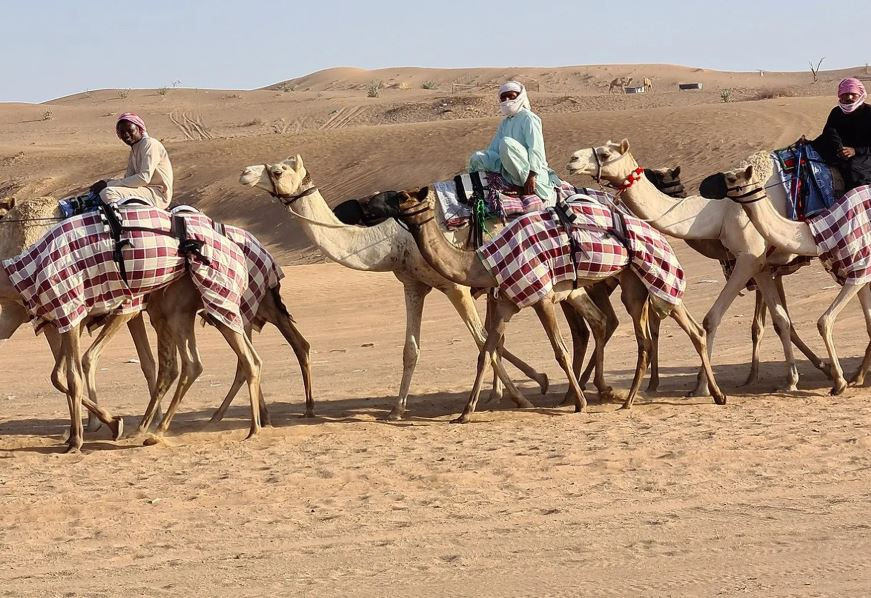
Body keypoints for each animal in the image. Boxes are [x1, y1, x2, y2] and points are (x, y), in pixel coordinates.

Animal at [238, 156, 550, 420]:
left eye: (278, 171)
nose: (245, 173)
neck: (393, 239)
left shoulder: (455, 286)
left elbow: (482, 340)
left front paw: (523, 397)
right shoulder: (413, 285)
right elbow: (411, 349)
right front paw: (396, 409)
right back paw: (503, 391)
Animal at [373, 186, 725, 422]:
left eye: (402, 198)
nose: (374, 204)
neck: (484, 261)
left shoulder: (541, 296)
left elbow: (560, 350)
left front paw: (580, 403)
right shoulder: (507, 303)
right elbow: (486, 352)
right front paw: (465, 412)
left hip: (651, 273)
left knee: (679, 330)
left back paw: (711, 394)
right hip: (632, 285)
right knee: (646, 337)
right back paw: (632, 399)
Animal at [567, 140, 828, 394]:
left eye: (605, 154)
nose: (573, 160)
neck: (719, 212)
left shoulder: (748, 258)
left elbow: (711, 319)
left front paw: (703, 386)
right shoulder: (761, 265)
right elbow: (781, 321)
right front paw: (791, 379)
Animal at [721, 163, 871, 395]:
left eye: (730, 178)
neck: (816, 233)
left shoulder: (859, 269)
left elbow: (823, 321)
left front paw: (839, 382)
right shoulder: (856, 273)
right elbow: (869, 324)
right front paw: (854, 378)